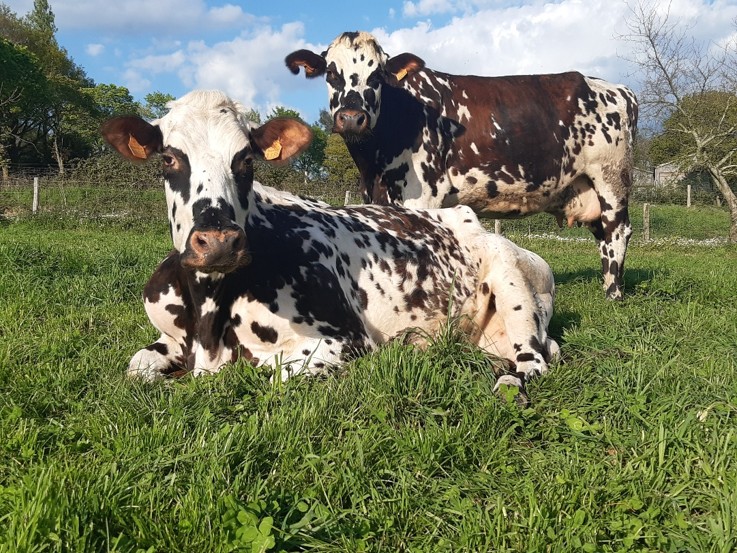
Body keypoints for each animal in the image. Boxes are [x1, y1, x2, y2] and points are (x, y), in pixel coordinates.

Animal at [101, 90, 559, 399]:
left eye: (246, 159)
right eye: (168, 158)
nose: (217, 241)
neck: (209, 318)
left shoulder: (344, 339)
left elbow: (268, 373)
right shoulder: (169, 338)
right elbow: (136, 366)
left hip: (511, 279)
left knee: (534, 360)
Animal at [285, 31, 639, 300]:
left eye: (377, 76)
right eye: (331, 73)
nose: (351, 117)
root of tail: (619, 89)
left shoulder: (422, 196)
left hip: (611, 178)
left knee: (617, 231)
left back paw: (613, 294)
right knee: (603, 233)